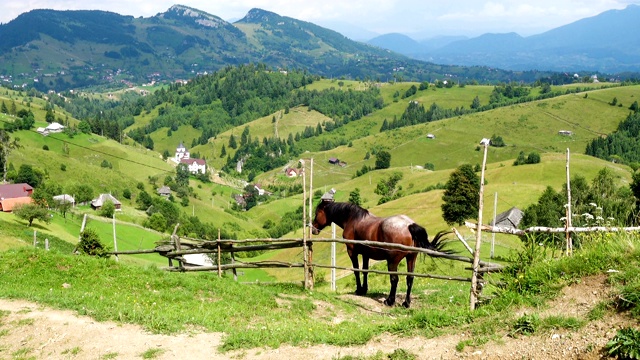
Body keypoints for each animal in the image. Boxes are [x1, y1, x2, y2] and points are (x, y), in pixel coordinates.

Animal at [312, 200, 448, 310]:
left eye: (317, 213)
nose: (313, 229)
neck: (353, 219)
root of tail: (409, 225)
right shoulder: (365, 254)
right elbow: (365, 271)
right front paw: (364, 289)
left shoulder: (352, 252)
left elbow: (357, 270)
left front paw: (359, 290)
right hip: (411, 258)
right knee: (410, 278)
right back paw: (406, 303)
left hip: (392, 261)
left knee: (394, 279)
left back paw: (390, 301)